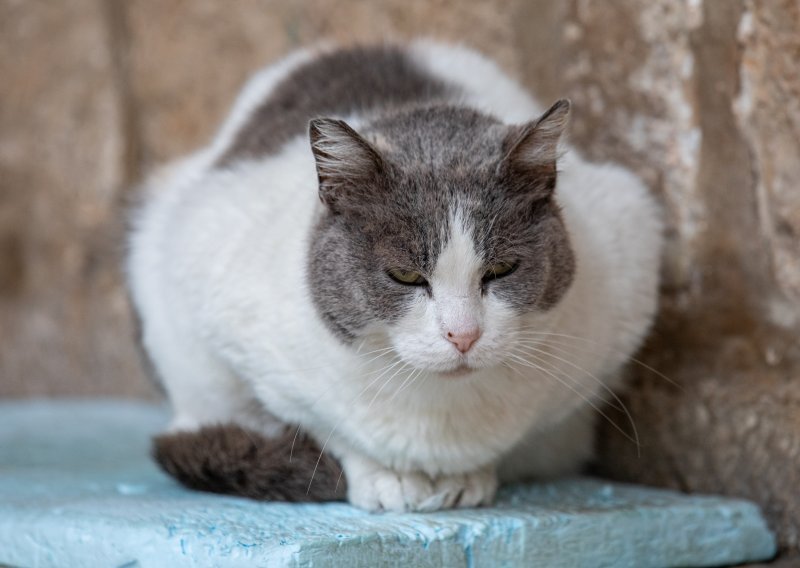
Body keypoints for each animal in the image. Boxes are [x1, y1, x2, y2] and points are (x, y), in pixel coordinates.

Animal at [126, 38, 664, 510]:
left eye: (503, 269)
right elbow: (320, 422)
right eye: (405, 276)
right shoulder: (217, 291)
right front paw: (385, 476)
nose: (463, 335)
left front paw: (467, 477)